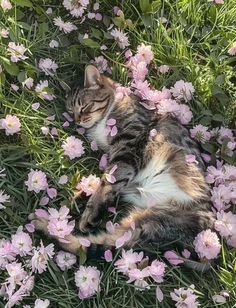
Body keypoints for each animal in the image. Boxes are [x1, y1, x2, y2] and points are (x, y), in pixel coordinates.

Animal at [28, 65, 215, 270]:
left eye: (84, 107)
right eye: (70, 110)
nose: (77, 120)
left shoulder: (128, 147)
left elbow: (108, 182)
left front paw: (91, 211)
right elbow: (107, 180)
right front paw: (88, 194)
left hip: (151, 224)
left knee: (95, 246)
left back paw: (49, 225)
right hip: (144, 224)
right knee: (101, 246)